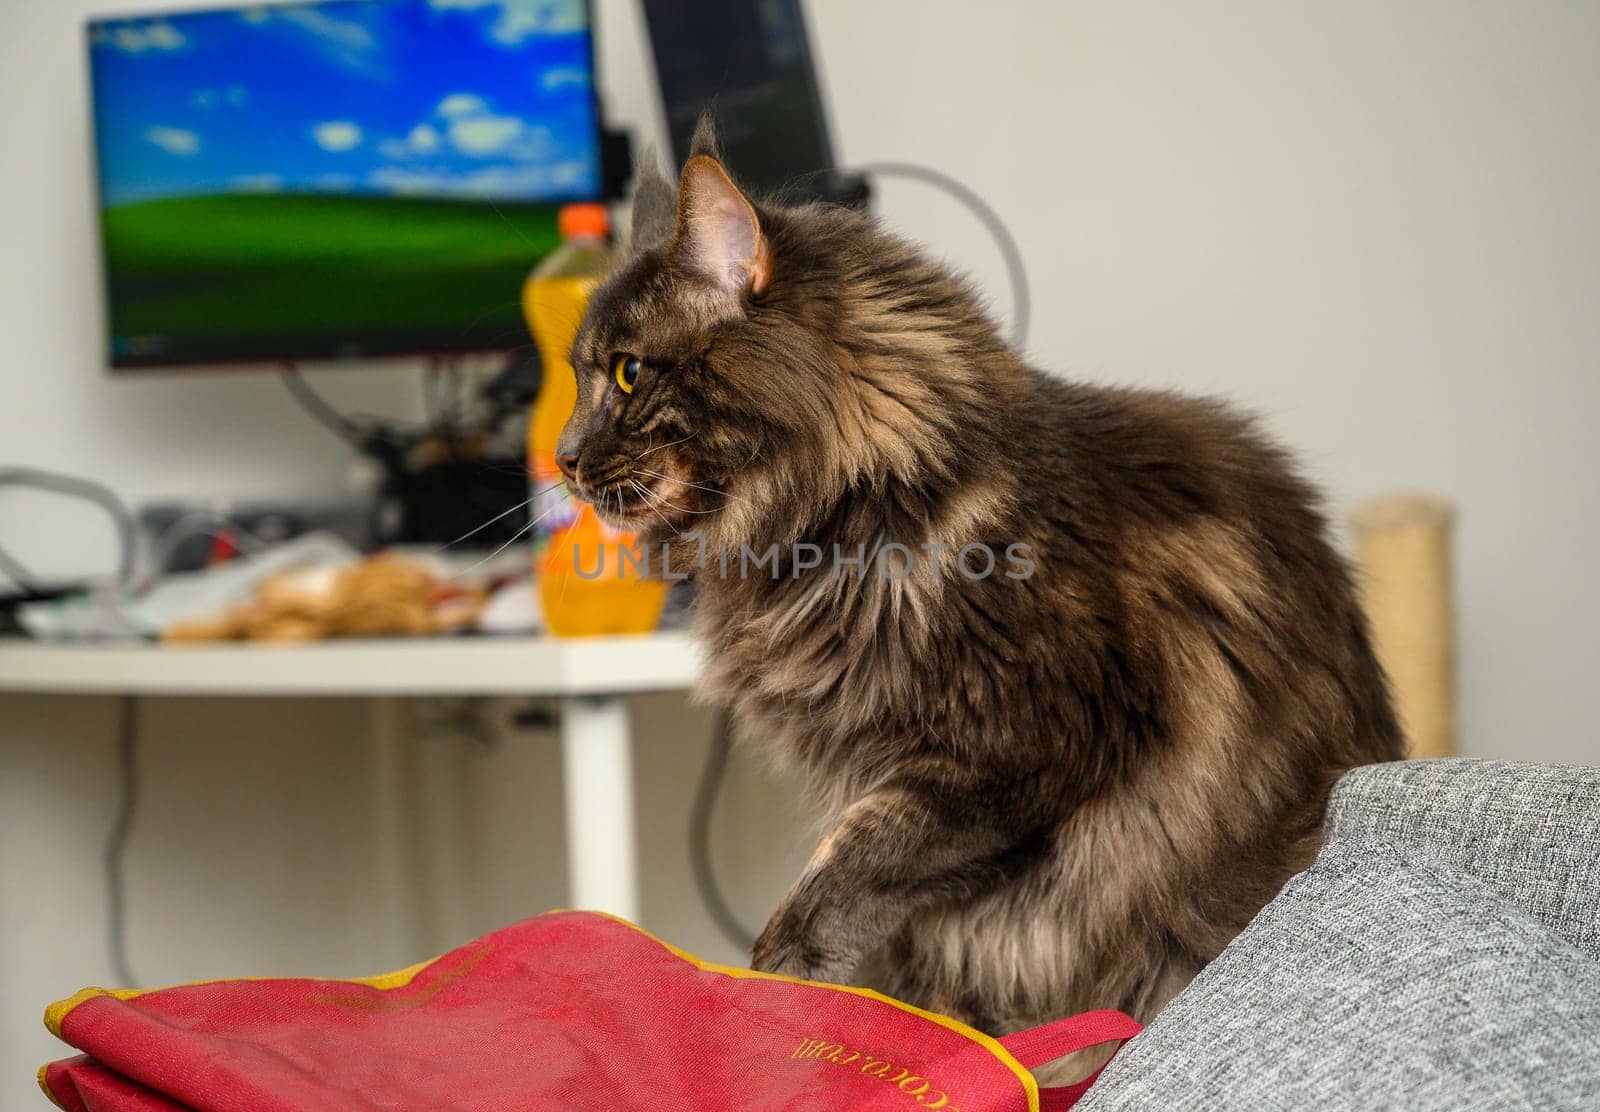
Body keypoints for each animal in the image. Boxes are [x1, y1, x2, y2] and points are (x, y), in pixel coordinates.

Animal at [553, 121, 1401, 1043]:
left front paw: (783, 990)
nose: (562, 459)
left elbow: (843, 875)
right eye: (581, 378)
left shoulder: (1020, 746)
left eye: (628, 375)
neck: (855, 514)